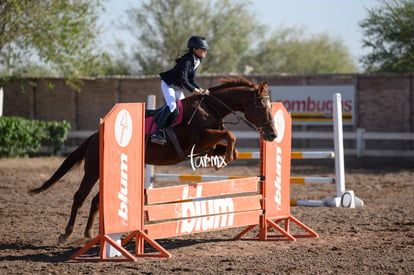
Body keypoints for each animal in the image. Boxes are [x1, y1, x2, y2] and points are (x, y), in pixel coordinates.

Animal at [28, 75, 274, 244]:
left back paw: (89, 234)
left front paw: (224, 159)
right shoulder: (200, 139)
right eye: (262, 106)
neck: (211, 108)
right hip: (93, 170)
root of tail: (94, 136)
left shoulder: (208, 145)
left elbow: (228, 142)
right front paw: (228, 156)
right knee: (80, 196)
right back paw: (66, 234)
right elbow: (230, 134)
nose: (272, 135)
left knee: (97, 200)